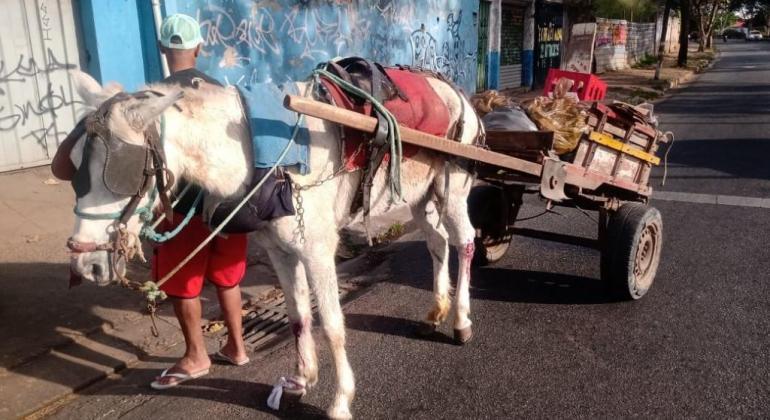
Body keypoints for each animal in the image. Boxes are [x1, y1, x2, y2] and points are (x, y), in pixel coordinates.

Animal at [69, 69, 484, 416]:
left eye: (120, 169)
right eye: (77, 166)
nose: (84, 262)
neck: (256, 151)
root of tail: (460, 96)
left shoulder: (318, 251)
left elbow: (332, 324)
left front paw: (340, 400)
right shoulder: (280, 251)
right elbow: (299, 315)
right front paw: (301, 381)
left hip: (453, 189)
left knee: (464, 241)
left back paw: (461, 320)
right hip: (420, 195)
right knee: (436, 242)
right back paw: (436, 311)